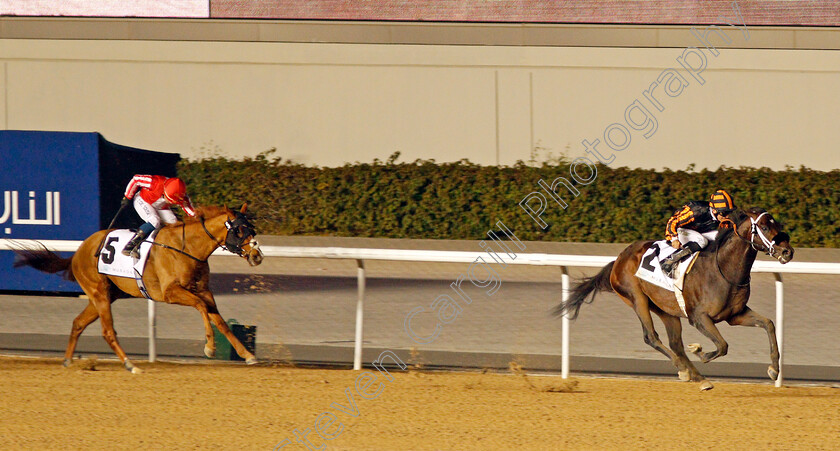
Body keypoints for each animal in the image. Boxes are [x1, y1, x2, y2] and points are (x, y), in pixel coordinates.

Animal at [13, 205, 262, 374]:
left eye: (251, 228)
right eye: (239, 230)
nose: (257, 256)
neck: (188, 247)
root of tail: (78, 251)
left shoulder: (204, 290)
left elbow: (220, 320)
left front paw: (247, 355)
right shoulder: (171, 293)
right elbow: (201, 308)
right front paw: (209, 347)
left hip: (104, 295)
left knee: (78, 323)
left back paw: (67, 361)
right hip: (99, 293)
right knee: (108, 331)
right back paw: (130, 364)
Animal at [556, 208, 796, 388]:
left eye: (777, 224)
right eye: (764, 227)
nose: (788, 252)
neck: (723, 268)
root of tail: (619, 259)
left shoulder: (735, 315)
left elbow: (768, 323)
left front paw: (774, 369)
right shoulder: (699, 317)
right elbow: (722, 345)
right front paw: (700, 351)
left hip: (665, 309)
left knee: (675, 343)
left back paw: (698, 377)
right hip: (637, 298)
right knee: (651, 337)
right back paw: (683, 369)